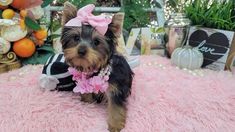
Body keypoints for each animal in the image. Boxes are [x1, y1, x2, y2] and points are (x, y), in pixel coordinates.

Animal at [60, 2, 133, 132]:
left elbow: (116, 106)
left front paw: (115, 125)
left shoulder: (116, 88)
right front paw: (87, 101)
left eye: (96, 42)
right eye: (76, 38)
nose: (81, 51)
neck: (94, 69)